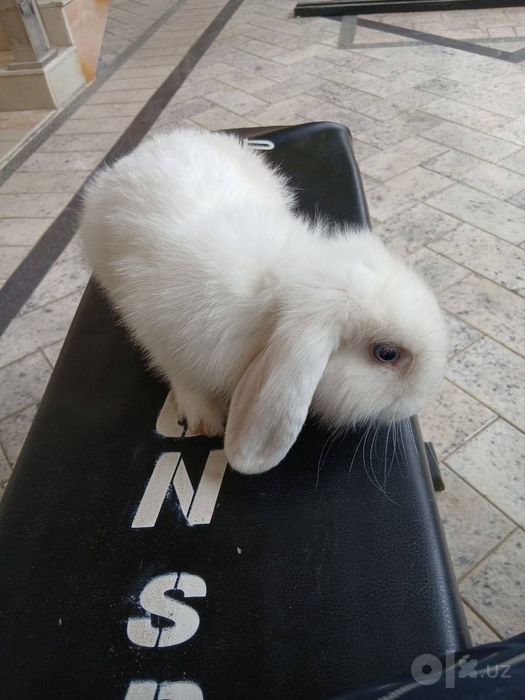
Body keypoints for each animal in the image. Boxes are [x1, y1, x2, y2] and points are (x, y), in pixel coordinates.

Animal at [80, 128, 447, 475]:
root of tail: (145, 150)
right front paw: (204, 418)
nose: (420, 401)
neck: (283, 287)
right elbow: (178, 373)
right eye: (387, 354)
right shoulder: (157, 332)